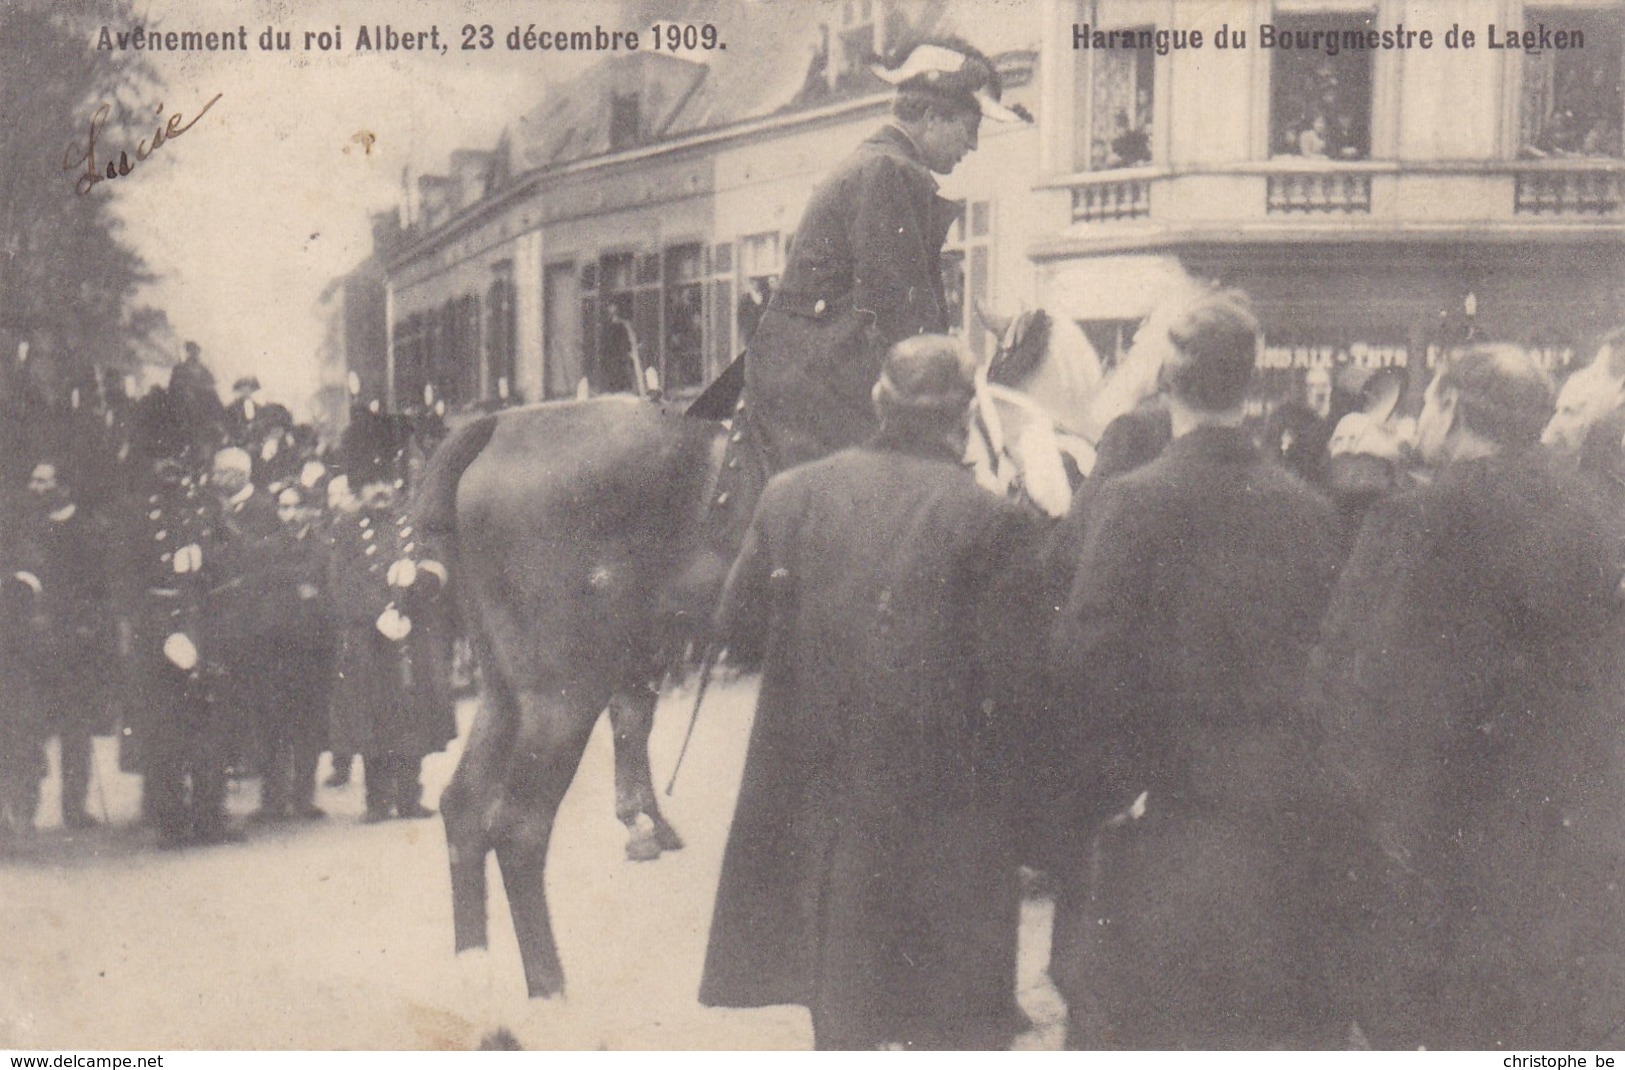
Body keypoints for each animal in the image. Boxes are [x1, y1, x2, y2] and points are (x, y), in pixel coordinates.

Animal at [422, 312, 1144, 995]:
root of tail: (498, 430)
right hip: (562, 696)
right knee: (518, 826)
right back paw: (549, 982)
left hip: (510, 692)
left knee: (464, 808)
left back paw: (473, 964)